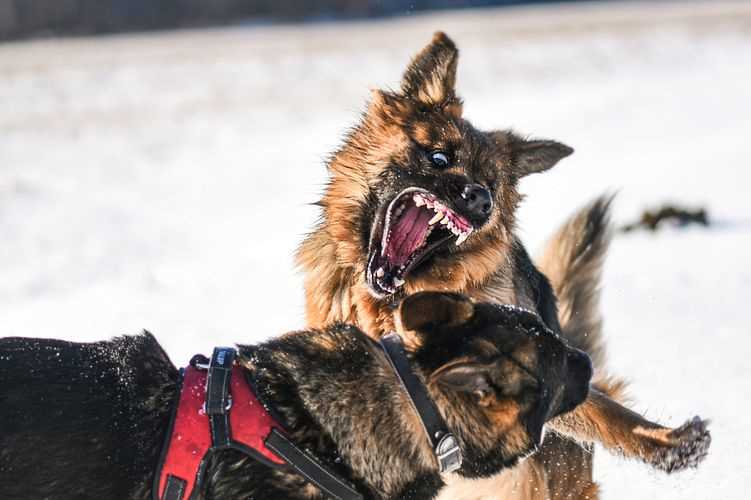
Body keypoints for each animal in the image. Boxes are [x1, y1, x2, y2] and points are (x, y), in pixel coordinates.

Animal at [298, 33, 712, 498]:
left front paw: (665, 443)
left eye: (492, 185)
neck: (392, 303)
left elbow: (601, 410)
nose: (481, 199)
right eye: (439, 158)